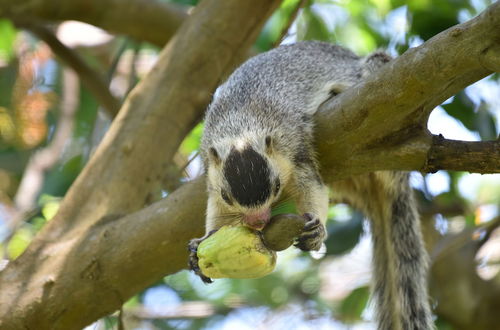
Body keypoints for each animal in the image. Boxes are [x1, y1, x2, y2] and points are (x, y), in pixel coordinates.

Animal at [188, 41, 434, 330]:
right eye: (227, 196)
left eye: (276, 187)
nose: (258, 222)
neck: (240, 127)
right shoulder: (210, 166)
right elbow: (216, 210)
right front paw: (202, 243)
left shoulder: (295, 143)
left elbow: (311, 184)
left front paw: (317, 231)